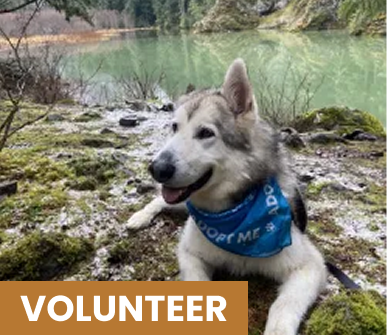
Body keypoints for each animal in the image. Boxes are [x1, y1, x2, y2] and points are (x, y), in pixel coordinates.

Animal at [127, 59, 328, 334]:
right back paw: (140, 217)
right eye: (175, 127)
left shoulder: (309, 265)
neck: (234, 219)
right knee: (159, 200)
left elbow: (283, 306)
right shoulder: (189, 252)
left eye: (205, 133)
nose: (157, 168)